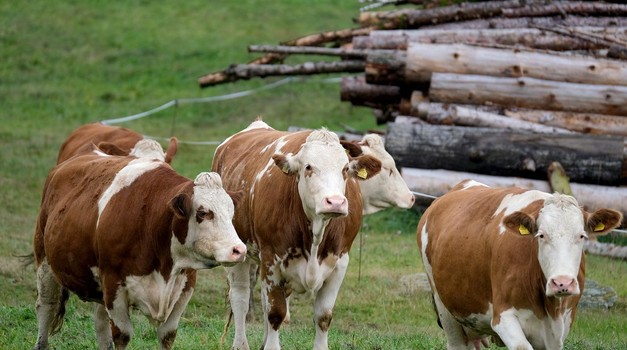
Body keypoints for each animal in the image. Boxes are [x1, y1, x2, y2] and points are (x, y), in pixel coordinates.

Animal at [33, 143, 247, 350]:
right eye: (202, 213)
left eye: (232, 212)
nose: (239, 250)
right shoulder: (113, 285)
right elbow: (122, 335)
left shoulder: (185, 287)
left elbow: (167, 335)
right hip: (45, 261)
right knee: (46, 306)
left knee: (100, 323)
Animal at [212, 120, 382, 350]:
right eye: (308, 167)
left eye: (345, 168)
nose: (335, 202)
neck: (316, 235)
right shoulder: (271, 259)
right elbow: (275, 313)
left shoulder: (340, 263)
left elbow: (323, 316)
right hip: (238, 251)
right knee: (240, 297)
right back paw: (240, 344)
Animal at [418, 180, 624, 350]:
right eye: (541, 235)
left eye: (581, 235)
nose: (562, 283)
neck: (550, 309)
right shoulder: (504, 317)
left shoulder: (563, 325)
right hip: (445, 309)